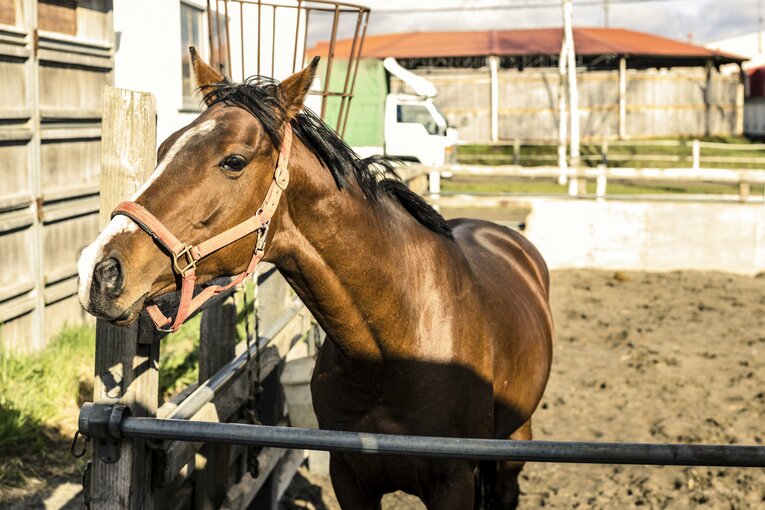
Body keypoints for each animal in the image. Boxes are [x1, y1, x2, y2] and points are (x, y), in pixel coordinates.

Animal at [77, 49, 553, 509]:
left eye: (233, 161)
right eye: (163, 150)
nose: (98, 271)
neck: (392, 350)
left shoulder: (453, 483)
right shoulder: (350, 479)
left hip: (516, 441)